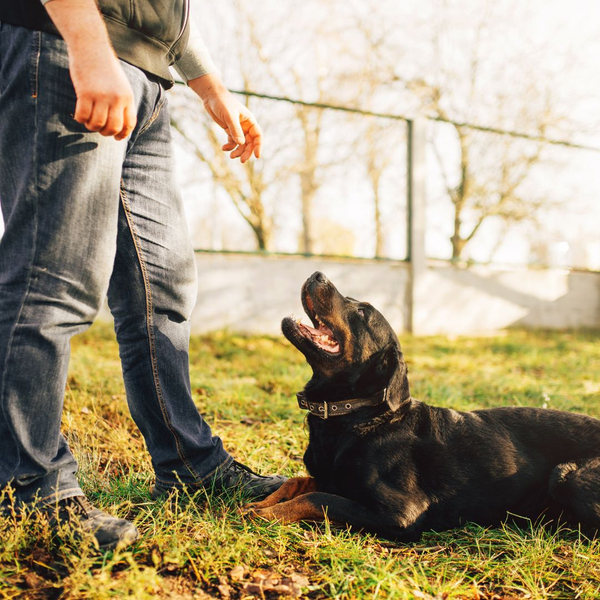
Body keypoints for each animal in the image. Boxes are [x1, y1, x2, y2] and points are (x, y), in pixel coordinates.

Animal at [245, 270, 600, 540]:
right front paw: (263, 504)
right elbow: (299, 481)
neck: (357, 415)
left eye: (362, 312)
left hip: (568, 476)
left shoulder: (400, 513)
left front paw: (270, 514)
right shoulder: (333, 477)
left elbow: (317, 498)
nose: (318, 274)